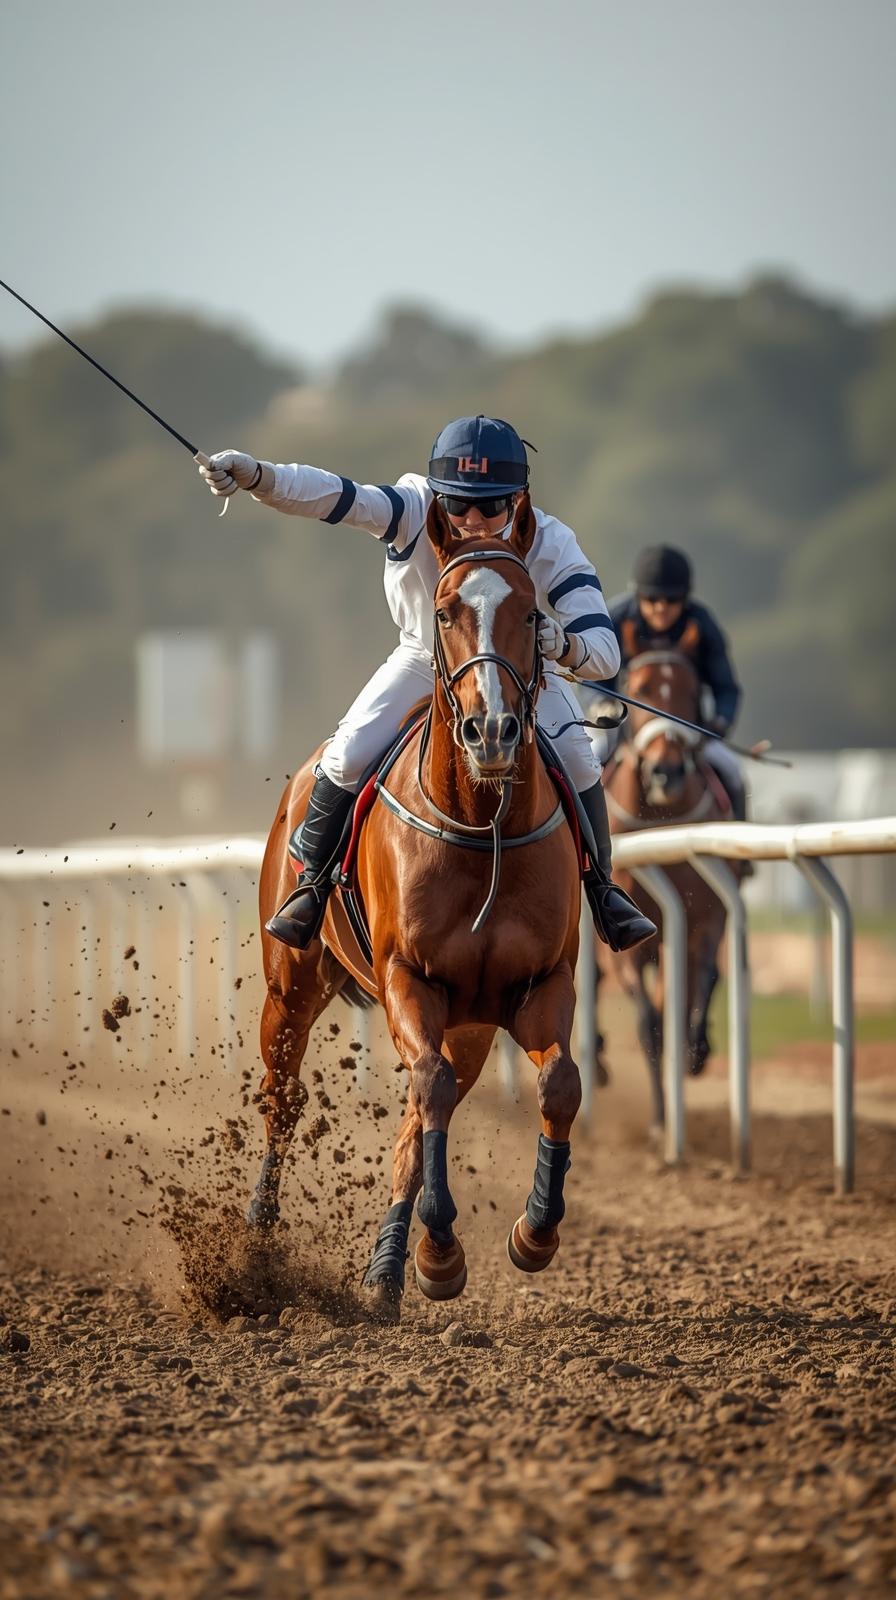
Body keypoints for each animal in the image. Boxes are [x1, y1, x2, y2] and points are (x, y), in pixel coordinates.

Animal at [249, 494, 584, 1320]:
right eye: (445, 611)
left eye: (533, 613)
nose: (492, 730)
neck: (479, 822)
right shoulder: (408, 976)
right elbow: (427, 1090)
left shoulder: (538, 983)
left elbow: (558, 1083)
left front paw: (531, 1233)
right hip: (292, 983)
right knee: (284, 1095)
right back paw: (256, 1242)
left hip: (466, 1020)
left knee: (422, 1105)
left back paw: (395, 1267)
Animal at [597, 629, 736, 1130]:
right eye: (637, 689)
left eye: (690, 690)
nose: (665, 772)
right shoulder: (625, 942)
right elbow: (647, 1022)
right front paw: (660, 1115)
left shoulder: (703, 917)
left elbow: (705, 977)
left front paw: (696, 1050)